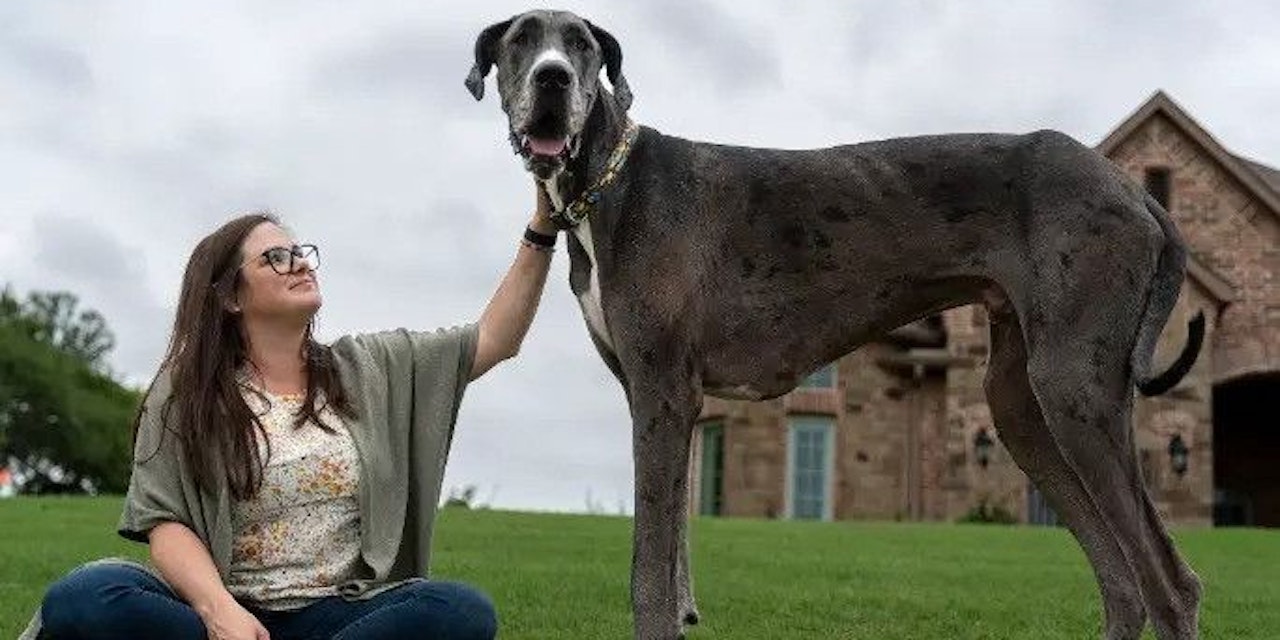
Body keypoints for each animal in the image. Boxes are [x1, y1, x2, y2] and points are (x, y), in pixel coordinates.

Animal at [466, 10, 1205, 640]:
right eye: (521, 40)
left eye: (582, 45)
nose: (553, 78)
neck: (608, 182)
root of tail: (1135, 191)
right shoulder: (664, 402)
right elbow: (673, 550)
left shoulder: (662, 394)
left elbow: (649, 569)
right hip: (1020, 405)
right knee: (1122, 580)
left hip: (1074, 390)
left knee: (1170, 583)